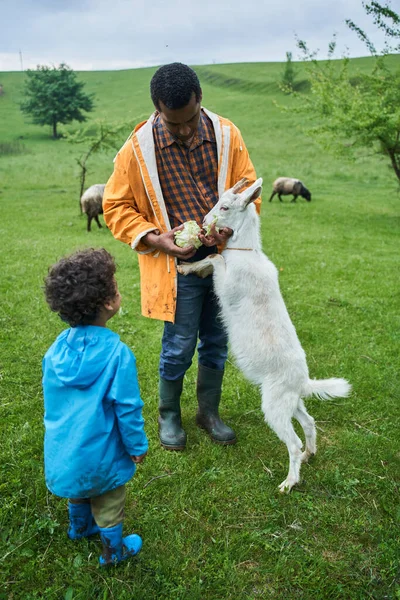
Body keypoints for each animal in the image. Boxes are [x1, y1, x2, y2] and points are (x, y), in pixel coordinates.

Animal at [178, 177, 350, 492]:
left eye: (225, 206)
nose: (204, 221)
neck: (246, 254)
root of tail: (302, 382)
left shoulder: (228, 284)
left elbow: (215, 257)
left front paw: (194, 264)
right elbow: (210, 259)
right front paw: (187, 267)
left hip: (274, 405)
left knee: (292, 443)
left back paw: (289, 482)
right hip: (289, 403)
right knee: (309, 422)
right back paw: (309, 454)